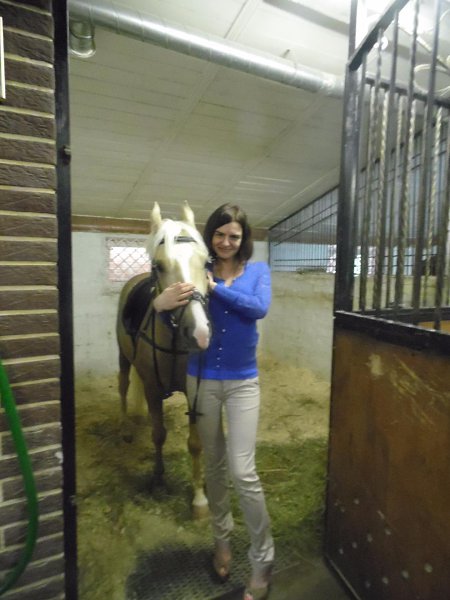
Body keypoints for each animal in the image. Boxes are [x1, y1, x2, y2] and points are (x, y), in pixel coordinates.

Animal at [116, 202, 211, 519]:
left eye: (206, 263)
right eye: (159, 266)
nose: (199, 333)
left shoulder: (194, 392)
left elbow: (195, 443)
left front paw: (199, 498)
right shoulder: (152, 389)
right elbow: (158, 434)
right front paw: (158, 478)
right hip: (123, 358)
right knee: (123, 387)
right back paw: (125, 428)